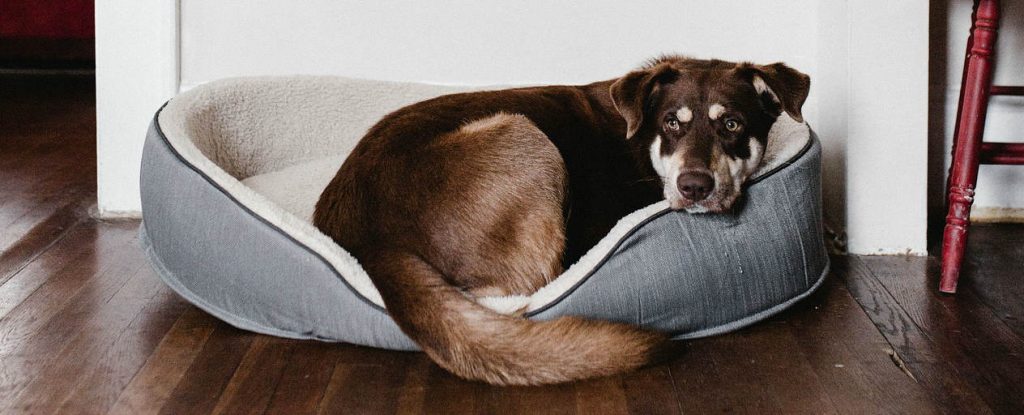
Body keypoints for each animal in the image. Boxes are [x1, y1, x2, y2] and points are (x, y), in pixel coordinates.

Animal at [311, 55, 806, 385]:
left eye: (732, 125)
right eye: (671, 123)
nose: (695, 186)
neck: (643, 142)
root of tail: (370, 240)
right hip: (524, 135)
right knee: (530, 286)